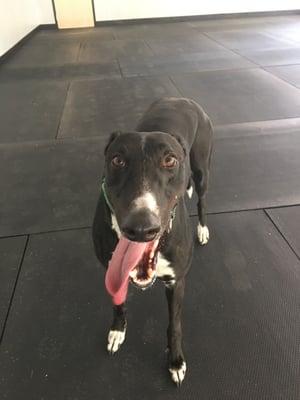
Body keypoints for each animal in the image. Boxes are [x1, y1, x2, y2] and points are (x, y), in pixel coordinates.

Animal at [94, 96, 213, 384]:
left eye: (169, 160)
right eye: (117, 160)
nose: (140, 228)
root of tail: (183, 99)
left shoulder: (176, 281)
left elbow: (174, 325)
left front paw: (175, 360)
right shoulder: (111, 270)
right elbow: (118, 302)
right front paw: (117, 330)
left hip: (202, 169)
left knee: (202, 197)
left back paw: (203, 228)